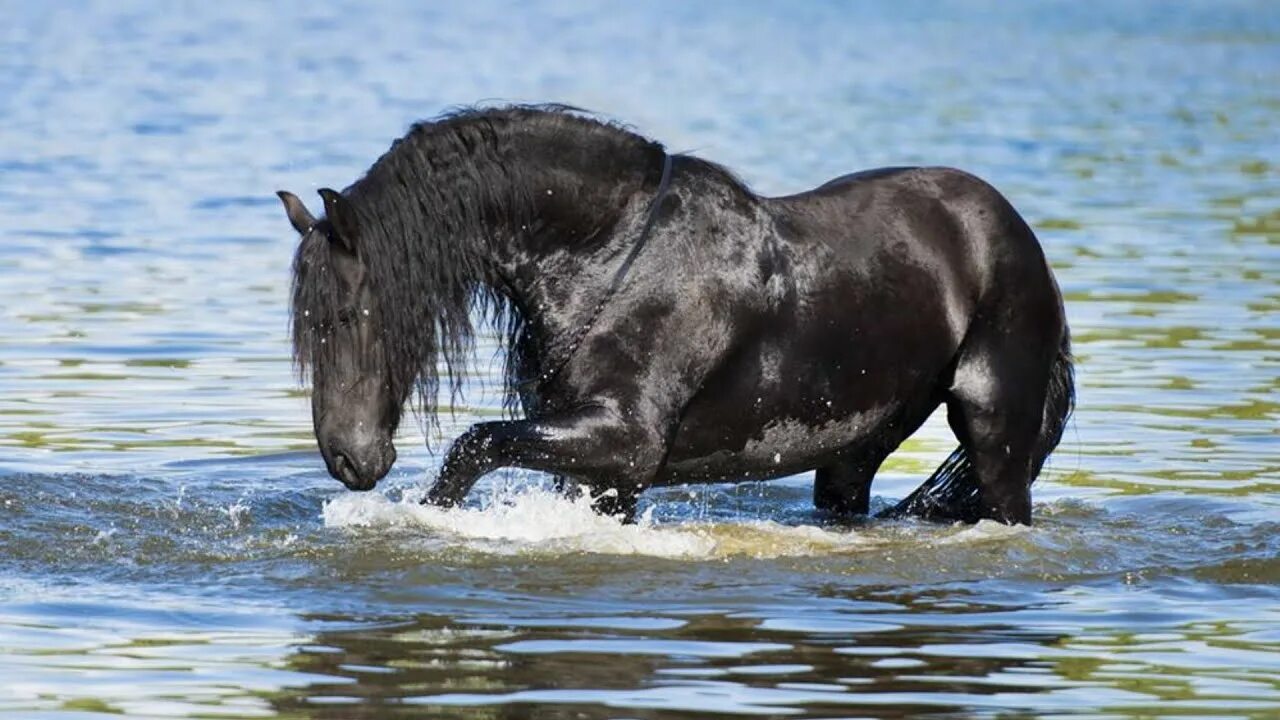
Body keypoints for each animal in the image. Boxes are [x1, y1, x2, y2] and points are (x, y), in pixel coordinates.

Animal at [277, 105, 1070, 520]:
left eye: (345, 316)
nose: (348, 459)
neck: (610, 251)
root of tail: (1016, 234)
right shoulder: (601, 471)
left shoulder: (622, 443)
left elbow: (473, 447)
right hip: (856, 448)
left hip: (996, 438)